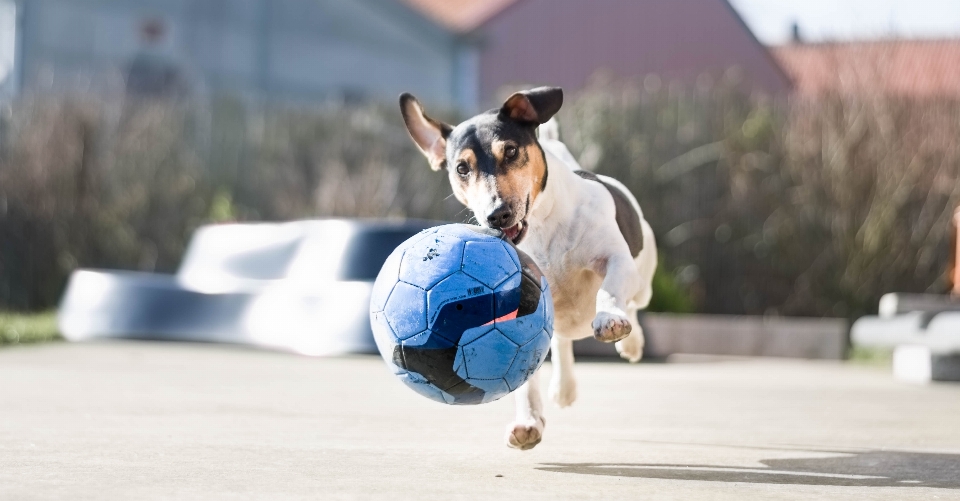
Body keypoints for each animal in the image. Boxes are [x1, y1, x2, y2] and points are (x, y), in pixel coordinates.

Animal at [402, 86, 656, 450]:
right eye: (462, 168)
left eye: (510, 151)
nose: (497, 215)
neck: (542, 225)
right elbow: (522, 373)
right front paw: (528, 421)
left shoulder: (616, 259)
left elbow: (609, 291)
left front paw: (610, 320)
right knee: (560, 341)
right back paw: (564, 387)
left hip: (644, 278)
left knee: (634, 302)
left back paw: (630, 342)